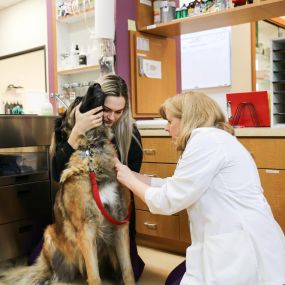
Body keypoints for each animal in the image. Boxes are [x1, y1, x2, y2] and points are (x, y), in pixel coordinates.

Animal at [0, 83, 134, 284]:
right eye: (77, 100)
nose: (96, 84)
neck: (92, 148)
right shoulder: (86, 230)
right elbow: (94, 277)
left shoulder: (120, 224)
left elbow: (128, 271)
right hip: (49, 236)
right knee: (48, 273)